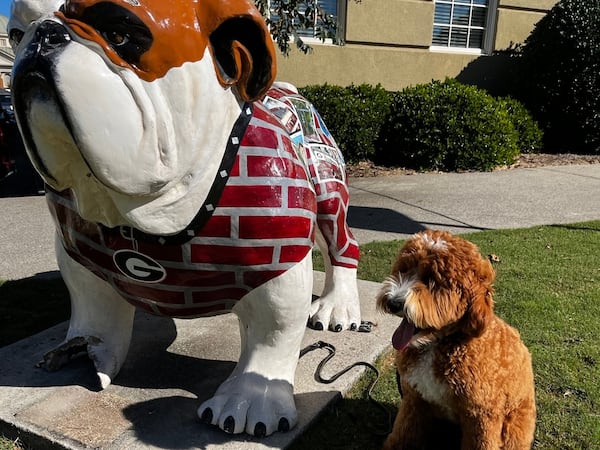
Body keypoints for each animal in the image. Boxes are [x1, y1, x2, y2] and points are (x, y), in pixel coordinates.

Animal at [378, 230, 536, 448]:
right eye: (404, 269)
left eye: (431, 280)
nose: (393, 302)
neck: (440, 343)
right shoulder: (414, 400)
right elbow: (403, 434)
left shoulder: (481, 416)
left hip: (515, 424)